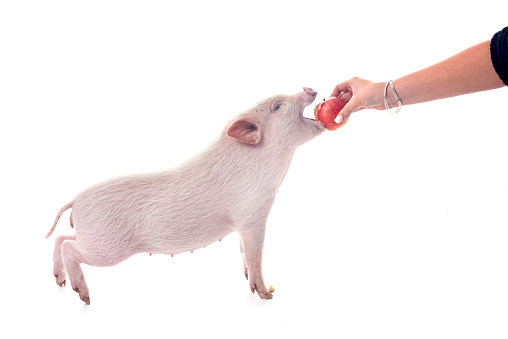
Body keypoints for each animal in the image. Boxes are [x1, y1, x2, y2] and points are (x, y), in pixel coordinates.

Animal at [45, 86, 324, 304]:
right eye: (276, 106)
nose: (309, 88)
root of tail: (77, 200)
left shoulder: (242, 225)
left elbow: (244, 251)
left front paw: (249, 280)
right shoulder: (253, 215)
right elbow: (255, 254)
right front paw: (267, 295)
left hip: (94, 238)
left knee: (60, 238)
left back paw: (59, 282)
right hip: (107, 247)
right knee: (68, 246)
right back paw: (84, 296)